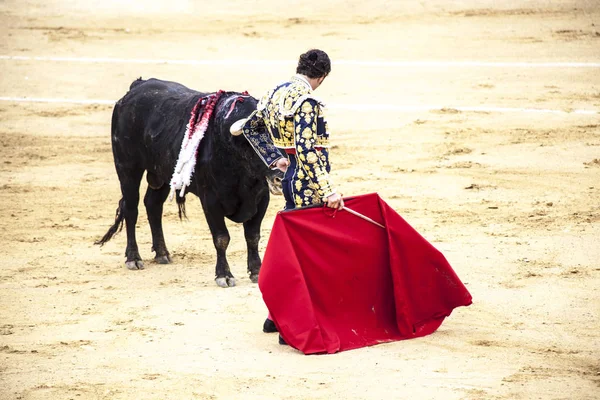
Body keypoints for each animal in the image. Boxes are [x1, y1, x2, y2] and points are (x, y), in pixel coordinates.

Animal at [96, 76, 284, 286]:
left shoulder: (261, 198)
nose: (280, 175)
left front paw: (256, 271)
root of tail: (136, 87)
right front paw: (224, 275)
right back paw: (133, 258)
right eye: (254, 142)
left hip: (164, 174)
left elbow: (252, 236)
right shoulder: (210, 200)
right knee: (131, 208)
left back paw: (162, 253)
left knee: (153, 205)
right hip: (127, 168)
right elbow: (221, 238)